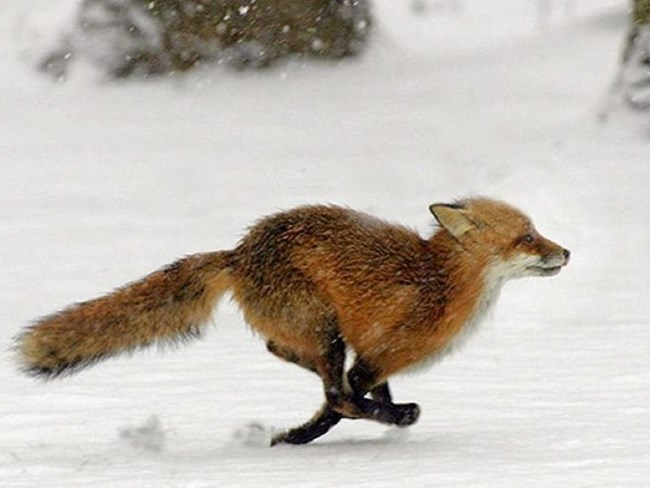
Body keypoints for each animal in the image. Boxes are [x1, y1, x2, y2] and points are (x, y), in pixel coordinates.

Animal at [15, 198, 570, 445]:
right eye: (526, 237)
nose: (565, 251)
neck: (439, 283)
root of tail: (238, 253)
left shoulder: (376, 356)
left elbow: (364, 396)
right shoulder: (374, 356)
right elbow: (344, 403)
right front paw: (302, 436)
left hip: (321, 333)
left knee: (282, 352)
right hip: (325, 329)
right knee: (332, 388)